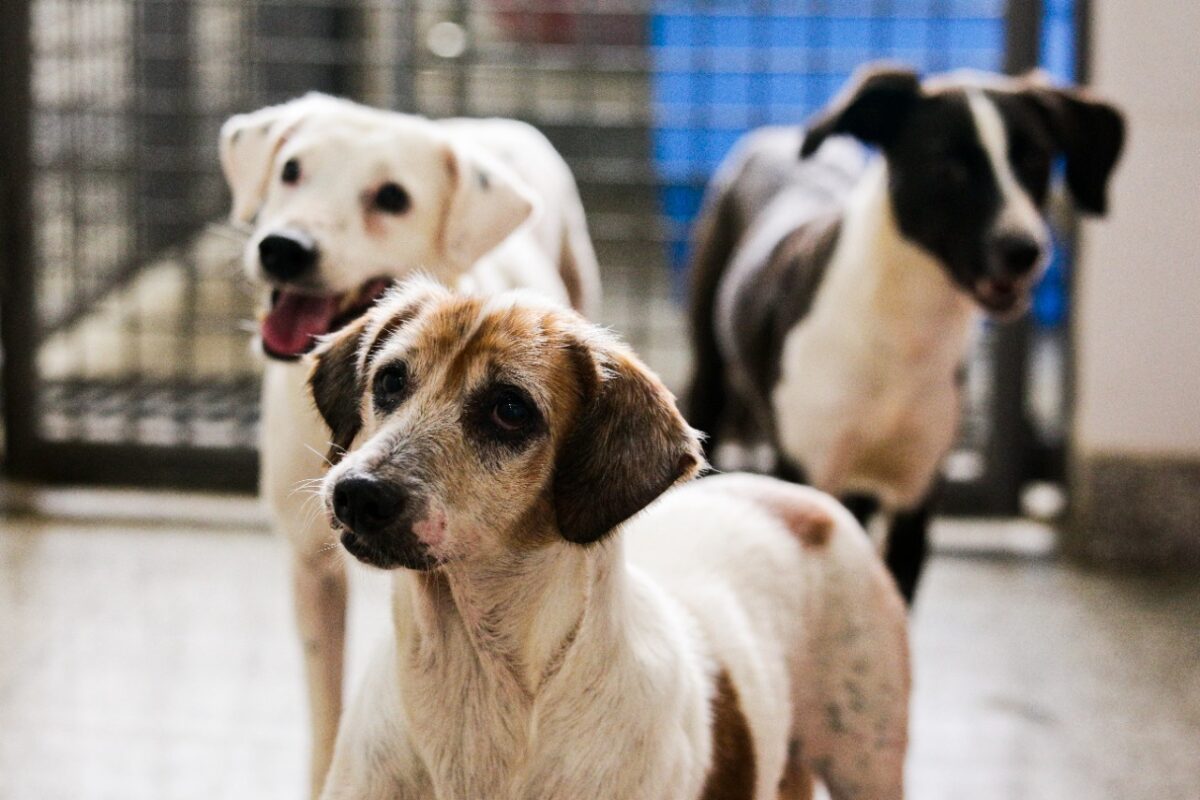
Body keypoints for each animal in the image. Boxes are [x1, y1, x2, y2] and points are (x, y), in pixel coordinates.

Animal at [304, 280, 902, 800]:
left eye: (510, 409)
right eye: (389, 381)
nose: (357, 494)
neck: (474, 677)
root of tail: (796, 497)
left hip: (868, 766)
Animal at [686, 65, 1123, 604]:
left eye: (1035, 160)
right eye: (947, 168)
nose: (1024, 250)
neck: (902, 327)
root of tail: (774, 136)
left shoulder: (918, 491)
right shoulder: (808, 471)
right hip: (709, 370)